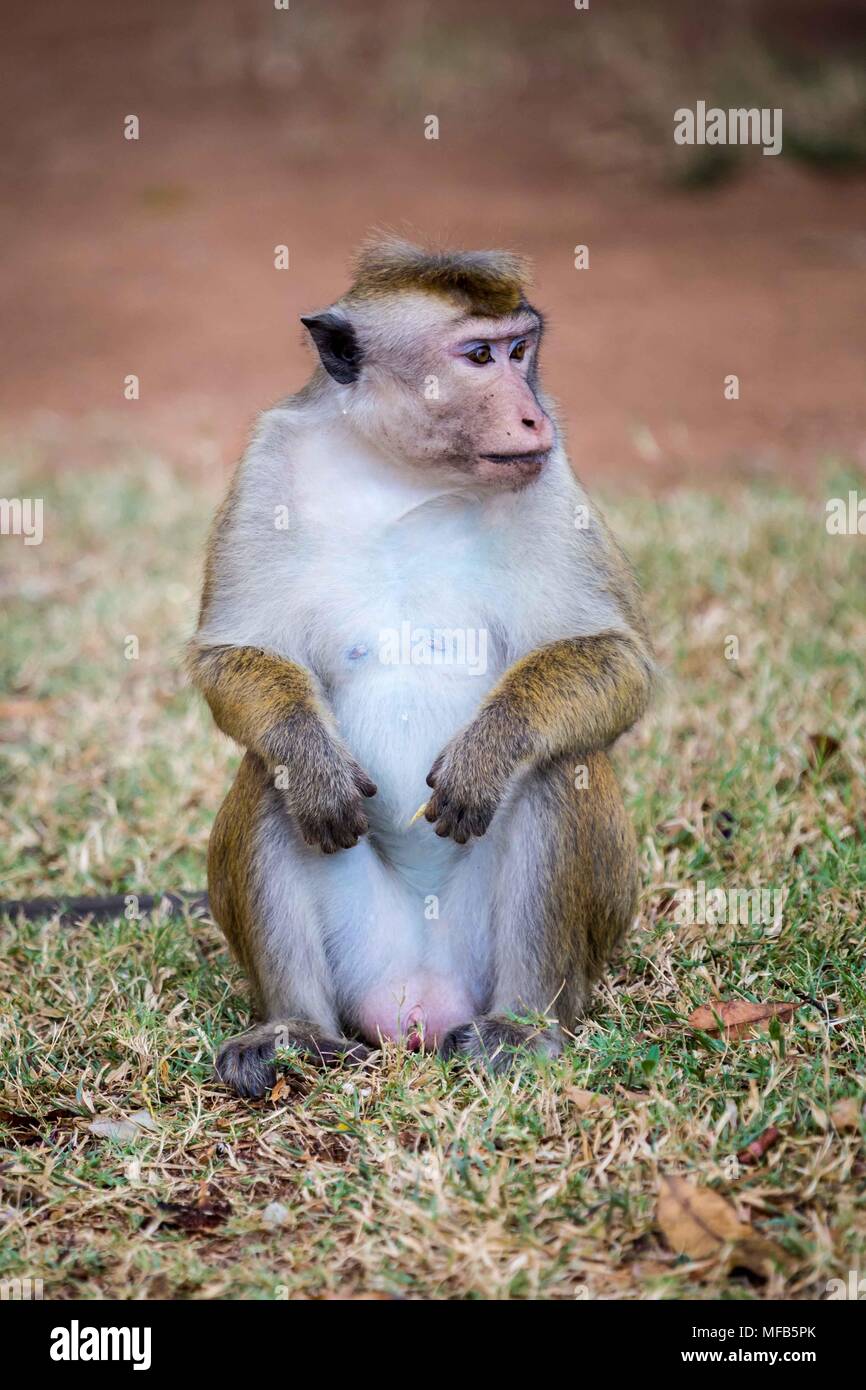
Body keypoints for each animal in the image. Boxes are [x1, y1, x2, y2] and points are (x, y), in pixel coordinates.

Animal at [186, 237, 654, 1098]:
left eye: (521, 350)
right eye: (478, 356)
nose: (533, 412)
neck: (403, 474)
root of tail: (420, 1002)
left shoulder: (550, 473)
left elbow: (617, 659)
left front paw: (492, 748)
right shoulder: (269, 460)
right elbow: (234, 655)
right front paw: (308, 758)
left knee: (559, 768)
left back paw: (521, 1026)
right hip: (363, 957)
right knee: (269, 777)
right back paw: (293, 1030)